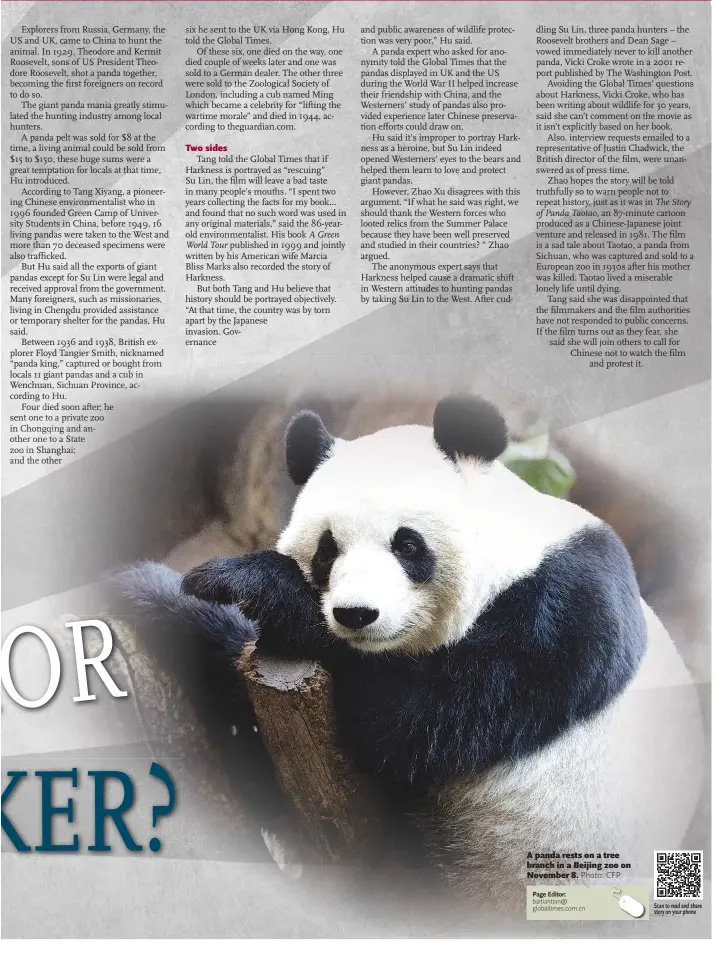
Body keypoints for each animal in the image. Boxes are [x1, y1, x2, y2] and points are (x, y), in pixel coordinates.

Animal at [124, 392, 704, 904]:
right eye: (327, 550)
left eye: (407, 544)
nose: (356, 614)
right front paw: (159, 593)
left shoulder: (562, 616)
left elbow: (411, 719)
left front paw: (248, 586)